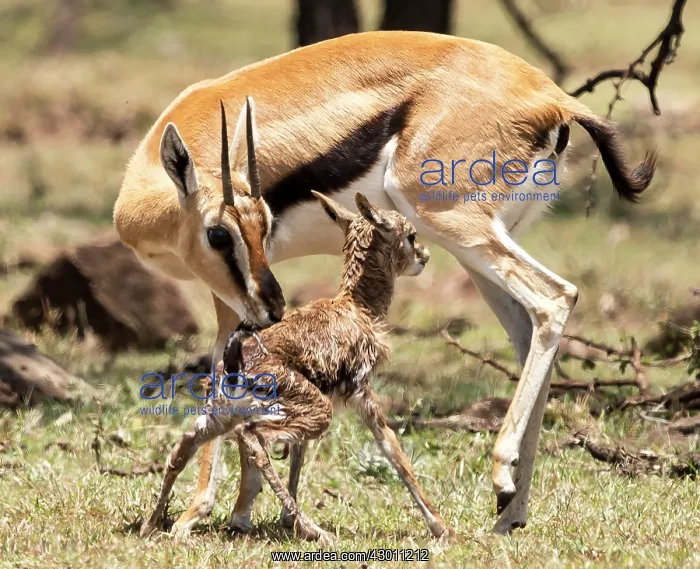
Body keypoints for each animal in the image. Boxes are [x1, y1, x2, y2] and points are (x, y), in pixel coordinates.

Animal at [139, 192, 445, 542]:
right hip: (312, 411)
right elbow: (393, 449)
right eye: (411, 235)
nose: (424, 256)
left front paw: (286, 518)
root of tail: (233, 363)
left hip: (221, 416)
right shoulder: (361, 392)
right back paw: (314, 529)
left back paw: (154, 524)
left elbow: (299, 454)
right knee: (254, 438)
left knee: (183, 447)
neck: (358, 308)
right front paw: (442, 527)